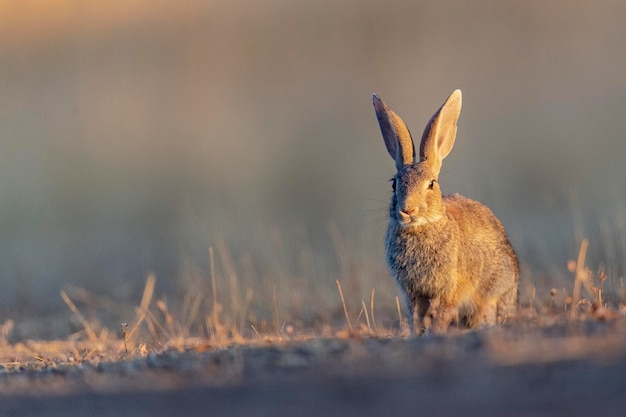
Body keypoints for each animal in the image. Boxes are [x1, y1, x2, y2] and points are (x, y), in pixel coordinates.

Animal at [370, 89, 516, 334]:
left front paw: (435, 332)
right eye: (394, 184)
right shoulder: (414, 293)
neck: (421, 226)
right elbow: (418, 316)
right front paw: (418, 334)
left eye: (431, 184)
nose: (407, 210)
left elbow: (443, 313)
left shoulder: (451, 288)